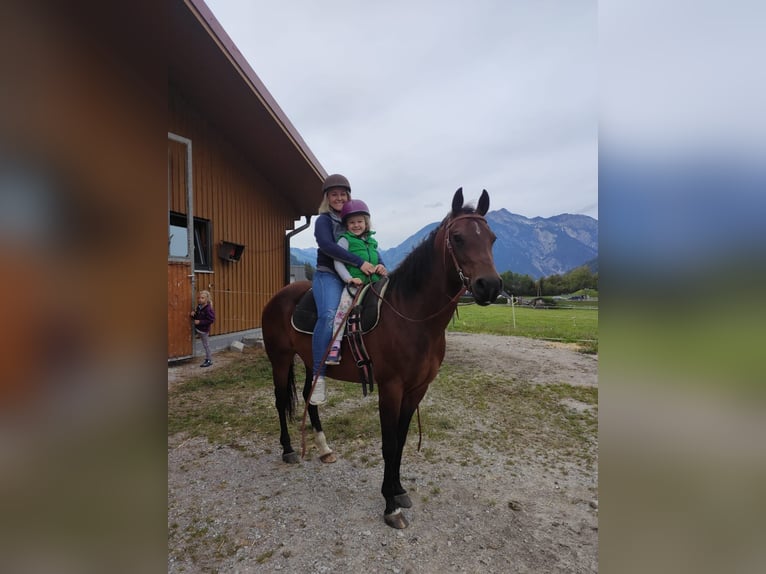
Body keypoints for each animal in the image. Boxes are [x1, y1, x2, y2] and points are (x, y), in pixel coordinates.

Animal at [261, 188, 503, 528]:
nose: (490, 286)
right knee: (281, 400)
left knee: (310, 397)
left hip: (312, 362)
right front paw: (390, 506)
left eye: (492, 238)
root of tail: (279, 296)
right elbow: (388, 444)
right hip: (280, 359)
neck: (411, 317)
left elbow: (400, 440)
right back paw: (288, 449)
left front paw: (399, 491)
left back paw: (323, 448)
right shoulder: (391, 388)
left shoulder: (417, 389)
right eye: (457, 237)